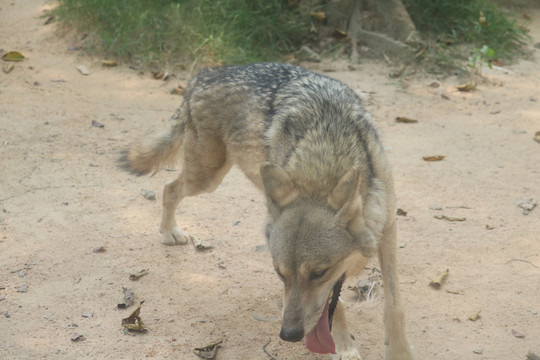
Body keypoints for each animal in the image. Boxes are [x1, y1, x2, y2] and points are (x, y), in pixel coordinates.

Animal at [121, 62, 414, 360]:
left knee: (169, 187)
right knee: (169, 188)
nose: (289, 335)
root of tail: (204, 74)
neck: (324, 159)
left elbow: (395, 306)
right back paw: (170, 231)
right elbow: (336, 305)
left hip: (209, 176)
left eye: (319, 273)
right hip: (207, 177)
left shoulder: (387, 229)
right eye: (280, 274)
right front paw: (344, 347)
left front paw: (400, 352)